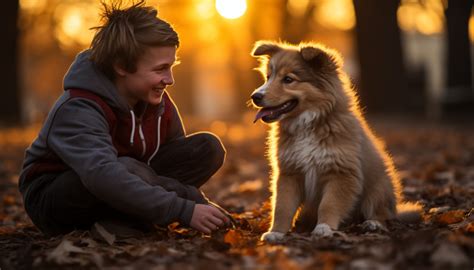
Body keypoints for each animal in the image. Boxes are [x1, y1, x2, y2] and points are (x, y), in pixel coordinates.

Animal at [250, 40, 420, 243]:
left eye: (288, 79)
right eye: (268, 77)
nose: (255, 96)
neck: (308, 124)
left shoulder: (341, 174)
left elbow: (329, 204)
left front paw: (324, 228)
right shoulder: (289, 173)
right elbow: (282, 207)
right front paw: (277, 232)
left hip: (379, 188)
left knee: (382, 213)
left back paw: (373, 223)